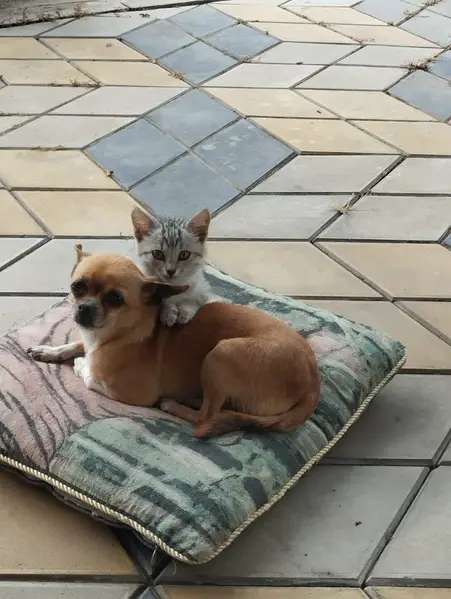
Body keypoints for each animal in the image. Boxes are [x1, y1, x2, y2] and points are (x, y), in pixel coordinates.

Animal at [28, 245, 321, 438]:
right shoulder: (90, 341)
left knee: (206, 417)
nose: (84, 308)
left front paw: (80, 366)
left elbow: (90, 377)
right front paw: (49, 350)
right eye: (77, 286)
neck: (120, 334)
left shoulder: (135, 395)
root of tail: (312, 383)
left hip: (221, 354)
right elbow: (75, 344)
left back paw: (174, 405)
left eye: (115, 299)